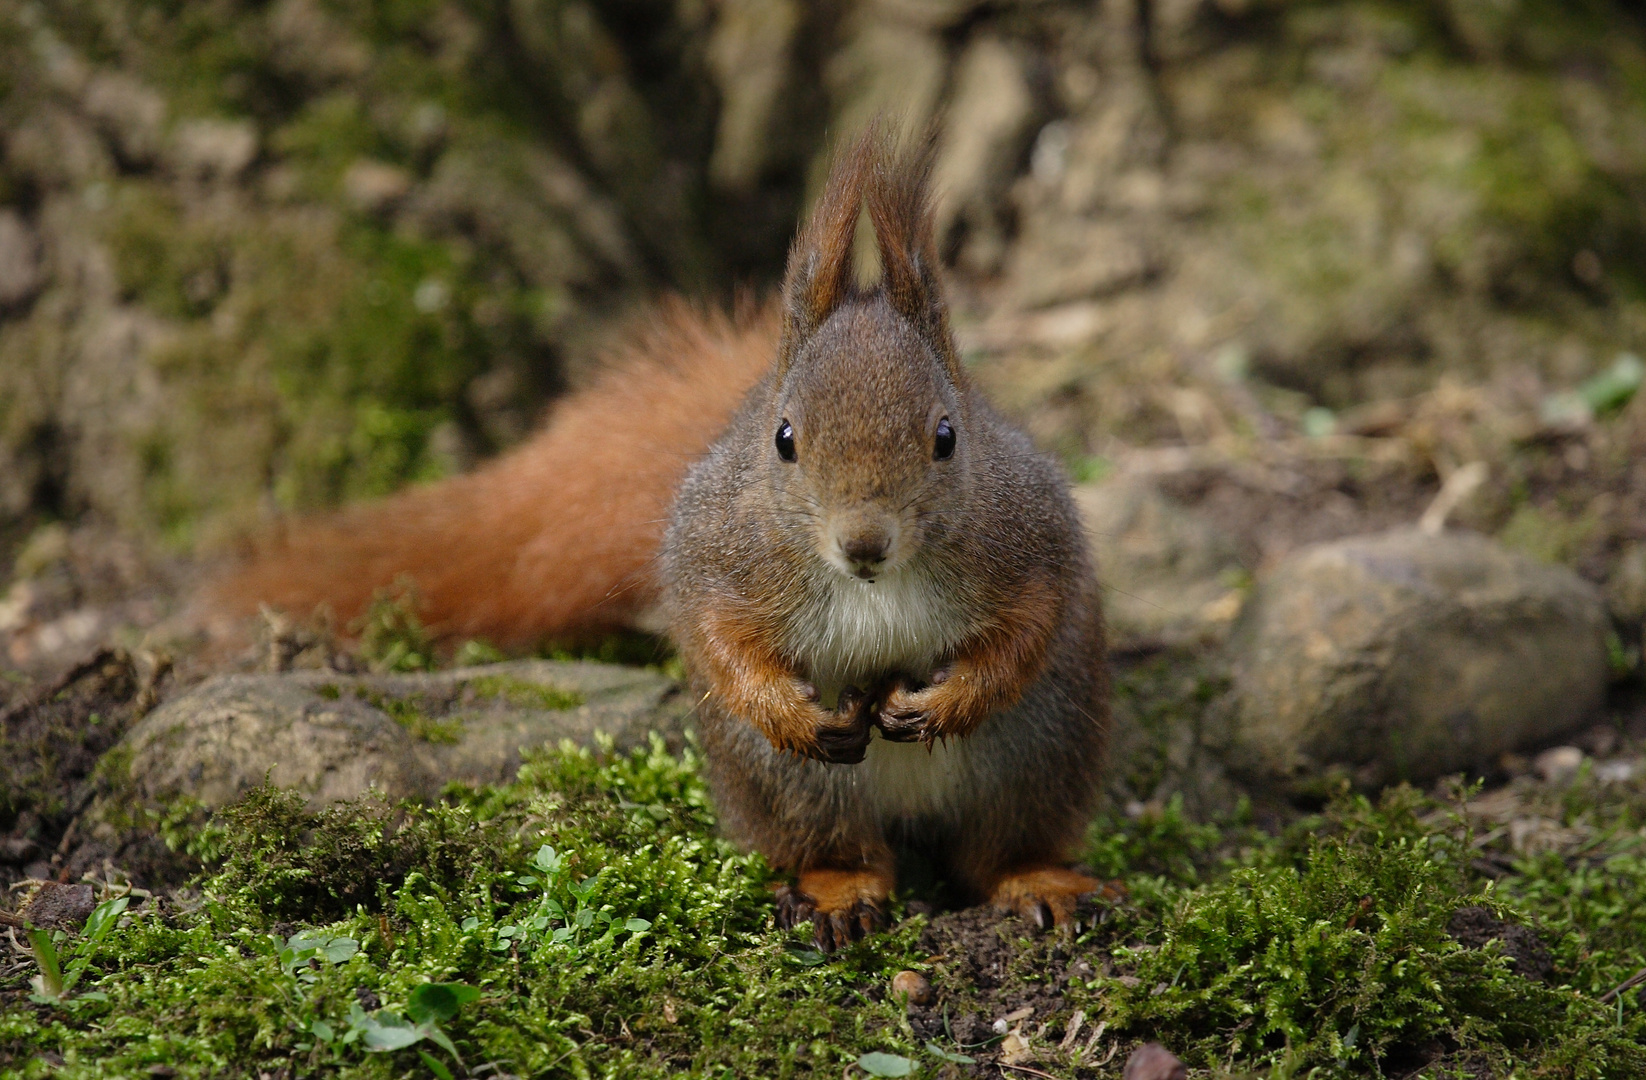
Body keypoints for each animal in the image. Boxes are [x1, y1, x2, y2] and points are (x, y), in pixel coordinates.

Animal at [205, 130, 1106, 948]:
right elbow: (716, 636)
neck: (872, 584)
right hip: (785, 786)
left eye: (947, 437)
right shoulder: (718, 553)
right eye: (784, 439)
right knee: (840, 847)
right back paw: (837, 891)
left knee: (997, 850)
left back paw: (1037, 881)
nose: (863, 544)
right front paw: (786, 710)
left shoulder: (1031, 537)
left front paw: (952, 698)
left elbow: (1028, 630)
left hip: (1038, 757)